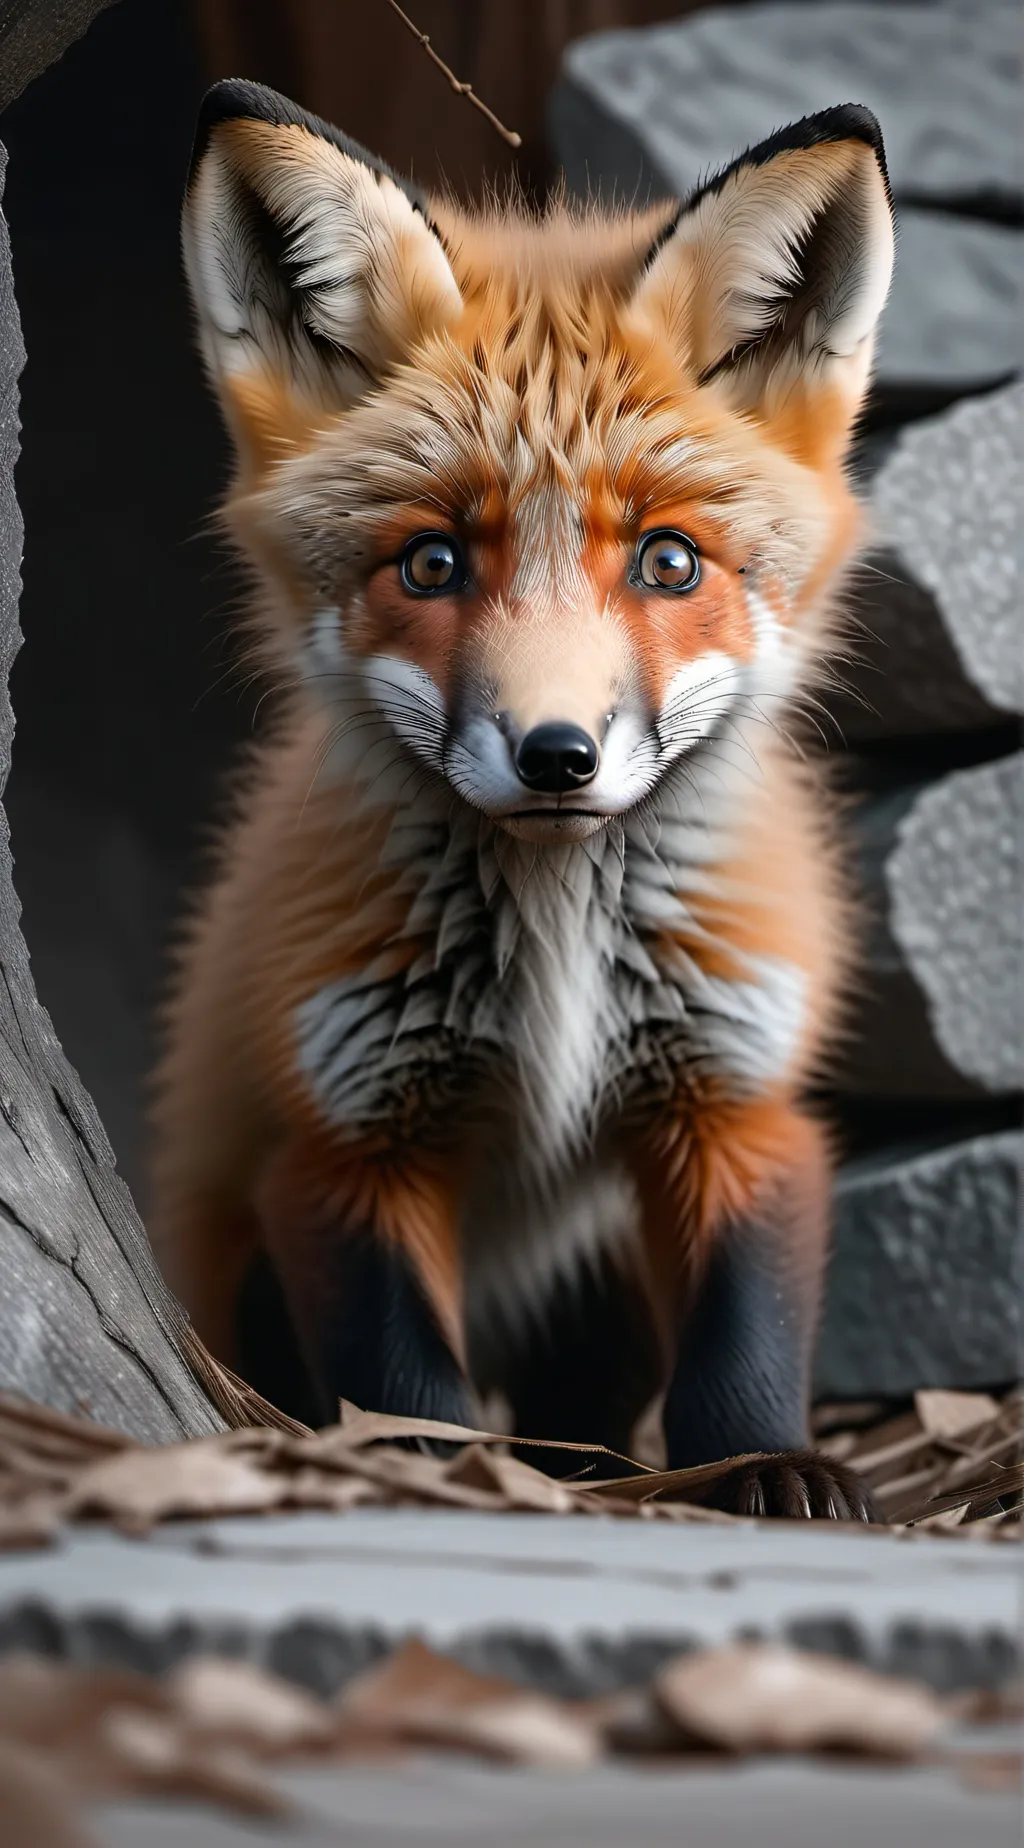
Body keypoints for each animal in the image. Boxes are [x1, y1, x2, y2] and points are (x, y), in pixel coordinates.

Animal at [151, 79, 896, 1519]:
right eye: (432, 563)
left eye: (669, 562)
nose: (558, 755)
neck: (557, 947)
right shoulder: (342, 1142)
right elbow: (403, 1380)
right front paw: (432, 1482)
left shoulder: (735, 1095)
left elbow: (743, 1336)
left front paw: (768, 1465)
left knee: (584, 1408)